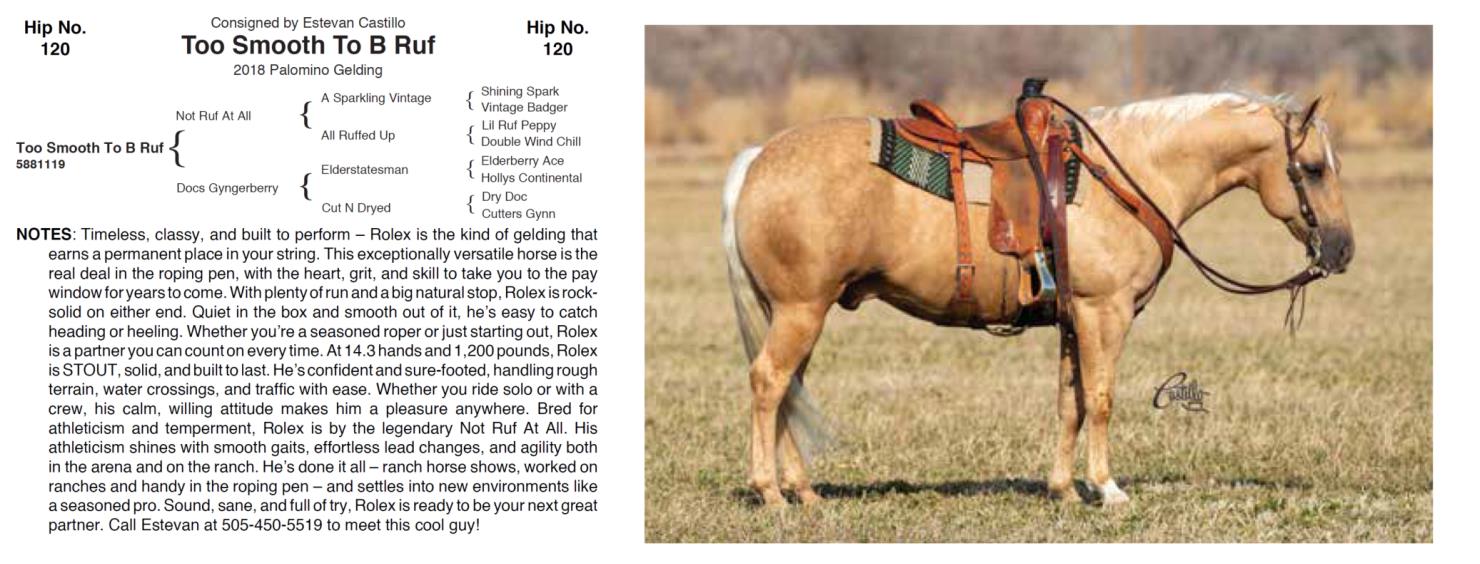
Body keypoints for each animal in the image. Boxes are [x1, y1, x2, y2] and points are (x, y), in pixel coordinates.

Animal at [720, 90, 1354, 507]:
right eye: (1312, 169)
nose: (1342, 249)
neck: (1127, 176)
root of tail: (757, 158)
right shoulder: (1105, 311)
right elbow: (1100, 399)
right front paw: (1107, 489)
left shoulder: (1074, 319)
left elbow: (1069, 402)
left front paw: (1065, 490)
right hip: (802, 311)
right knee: (769, 383)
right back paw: (771, 493)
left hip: (799, 312)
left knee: (789, 388)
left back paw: (804, 492)